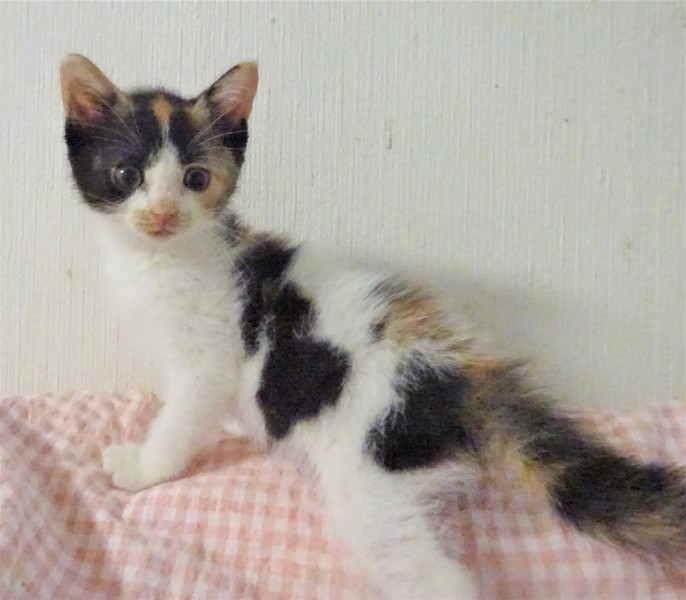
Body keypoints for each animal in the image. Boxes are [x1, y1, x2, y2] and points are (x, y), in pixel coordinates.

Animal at [59, 54, 685, 599]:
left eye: (195, 178)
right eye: (127, 174)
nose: (162, 213)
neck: (163, 258)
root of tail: (465, 372)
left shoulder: (207, 359)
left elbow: (181, 421)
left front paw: (144, 467)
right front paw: (238, 424)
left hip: (372, 464)